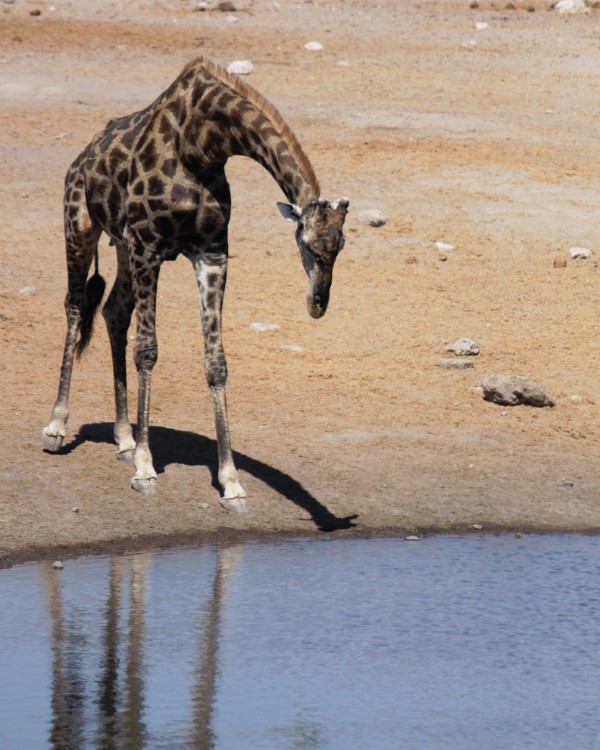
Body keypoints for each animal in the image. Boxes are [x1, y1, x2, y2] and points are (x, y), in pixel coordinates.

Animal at [42, 55, 350, 516]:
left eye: (341, 246)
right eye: (308, 244)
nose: (317, 304)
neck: (203, 145)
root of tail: (80, 159)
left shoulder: (211, 253)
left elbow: (216, 363)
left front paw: (231, 483)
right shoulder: (149, 247)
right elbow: (148, 351)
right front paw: (146, 470)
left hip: (122, 246)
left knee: (113, 311)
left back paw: (124, 438)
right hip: (80, 225)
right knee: (77, 306)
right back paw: (58, 426)